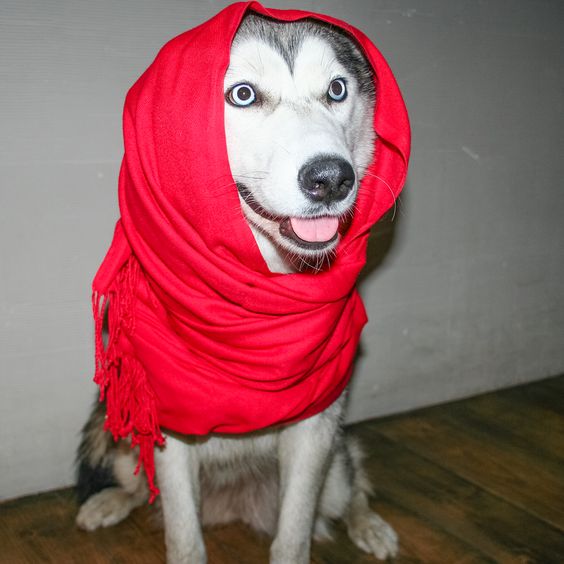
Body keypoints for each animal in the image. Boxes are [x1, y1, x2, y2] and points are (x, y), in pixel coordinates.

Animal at [76, 13, 396, 564]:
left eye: (337, 89)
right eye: (243, 94)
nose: (332, 178)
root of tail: (232, 504)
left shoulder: (315, 429)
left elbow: (293, 533)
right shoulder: (167, 432)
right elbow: (183, 536)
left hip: (332, 472)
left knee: (351, 484)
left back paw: (368, 524)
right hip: (129, 440)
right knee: (139, 484)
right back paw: (108, 501)